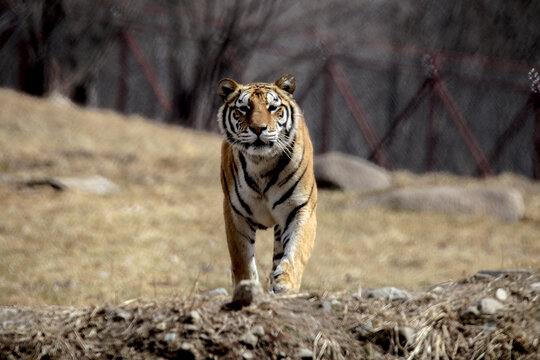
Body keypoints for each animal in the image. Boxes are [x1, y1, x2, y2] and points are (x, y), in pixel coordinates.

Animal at [216, 73, 316, 292]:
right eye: (244, 109)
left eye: (272, 107)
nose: (258, 128)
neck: (262, 163)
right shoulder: (235, 213)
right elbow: (242, 259)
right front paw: (247, 286)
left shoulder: (301, 208)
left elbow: (297, 250)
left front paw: (285, 284)